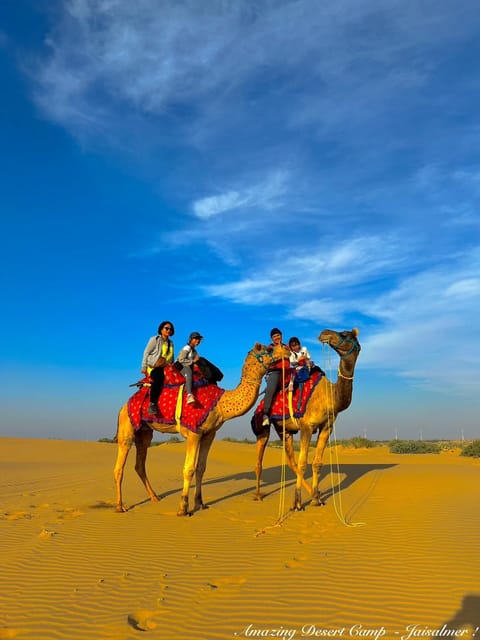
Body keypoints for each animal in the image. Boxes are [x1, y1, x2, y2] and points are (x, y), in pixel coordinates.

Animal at [114, 344, 278, 516]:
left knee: (140, 463)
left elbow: (201, 468)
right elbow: (189, 469)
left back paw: (154, 497)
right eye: (269, 349)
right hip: (127, 424)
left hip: (144, 431)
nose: (284, 350)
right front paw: (183, 508)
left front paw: (200, 503)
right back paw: (120, 506)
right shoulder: (194, 432)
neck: (220, 404)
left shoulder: (209, 434)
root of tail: (123, 406)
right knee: (120, 465)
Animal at [255, 328, 360, 512]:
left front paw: (316, 499)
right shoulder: (307, 426)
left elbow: (316, 463)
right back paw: (258, 495)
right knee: (260, 459)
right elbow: (304, 463)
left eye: (345, 334)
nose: (324, 332)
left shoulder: (326, 427)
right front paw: (297, 503)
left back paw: (313, 493)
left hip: (284, 429)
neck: (329, 396)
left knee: (291, 460)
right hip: (264, 427)